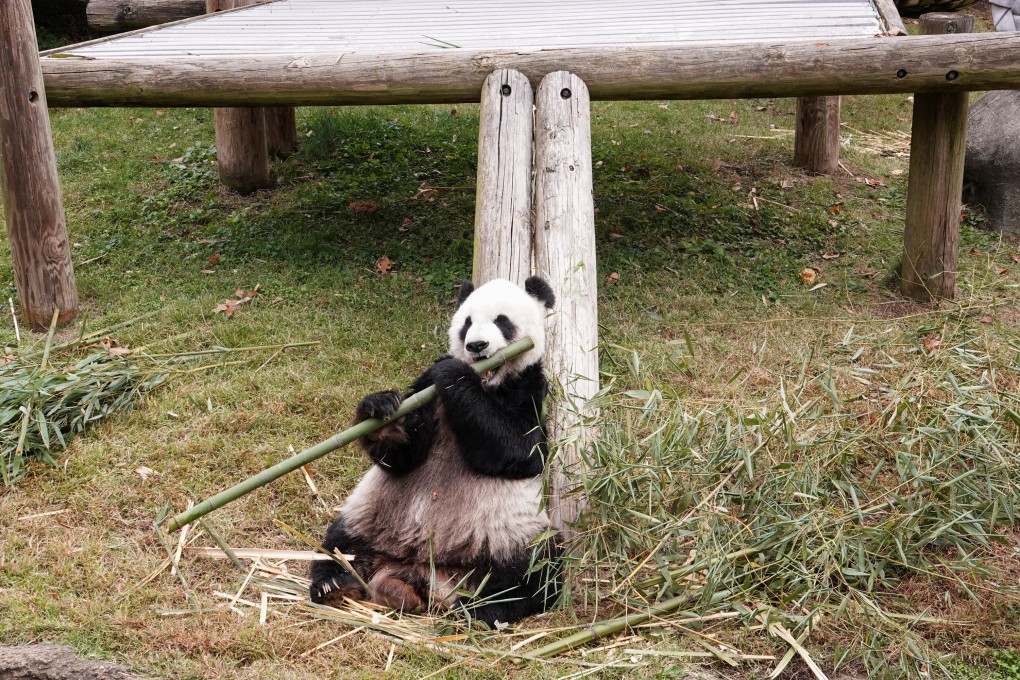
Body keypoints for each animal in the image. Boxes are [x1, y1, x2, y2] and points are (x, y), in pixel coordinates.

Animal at [310, 276, 562, 626]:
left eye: (502, 321)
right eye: (467, 323)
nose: (476, 346)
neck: (488, 383)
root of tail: (424, 574)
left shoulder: (530, 388)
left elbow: (522, 451)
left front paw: (454, 373)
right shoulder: (425, 389)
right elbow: (403, 457)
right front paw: (382, 410)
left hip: (512, 535)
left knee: (536, 571)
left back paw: (483, 609)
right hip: (371, 518)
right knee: (339, 543)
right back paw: (335, 585)